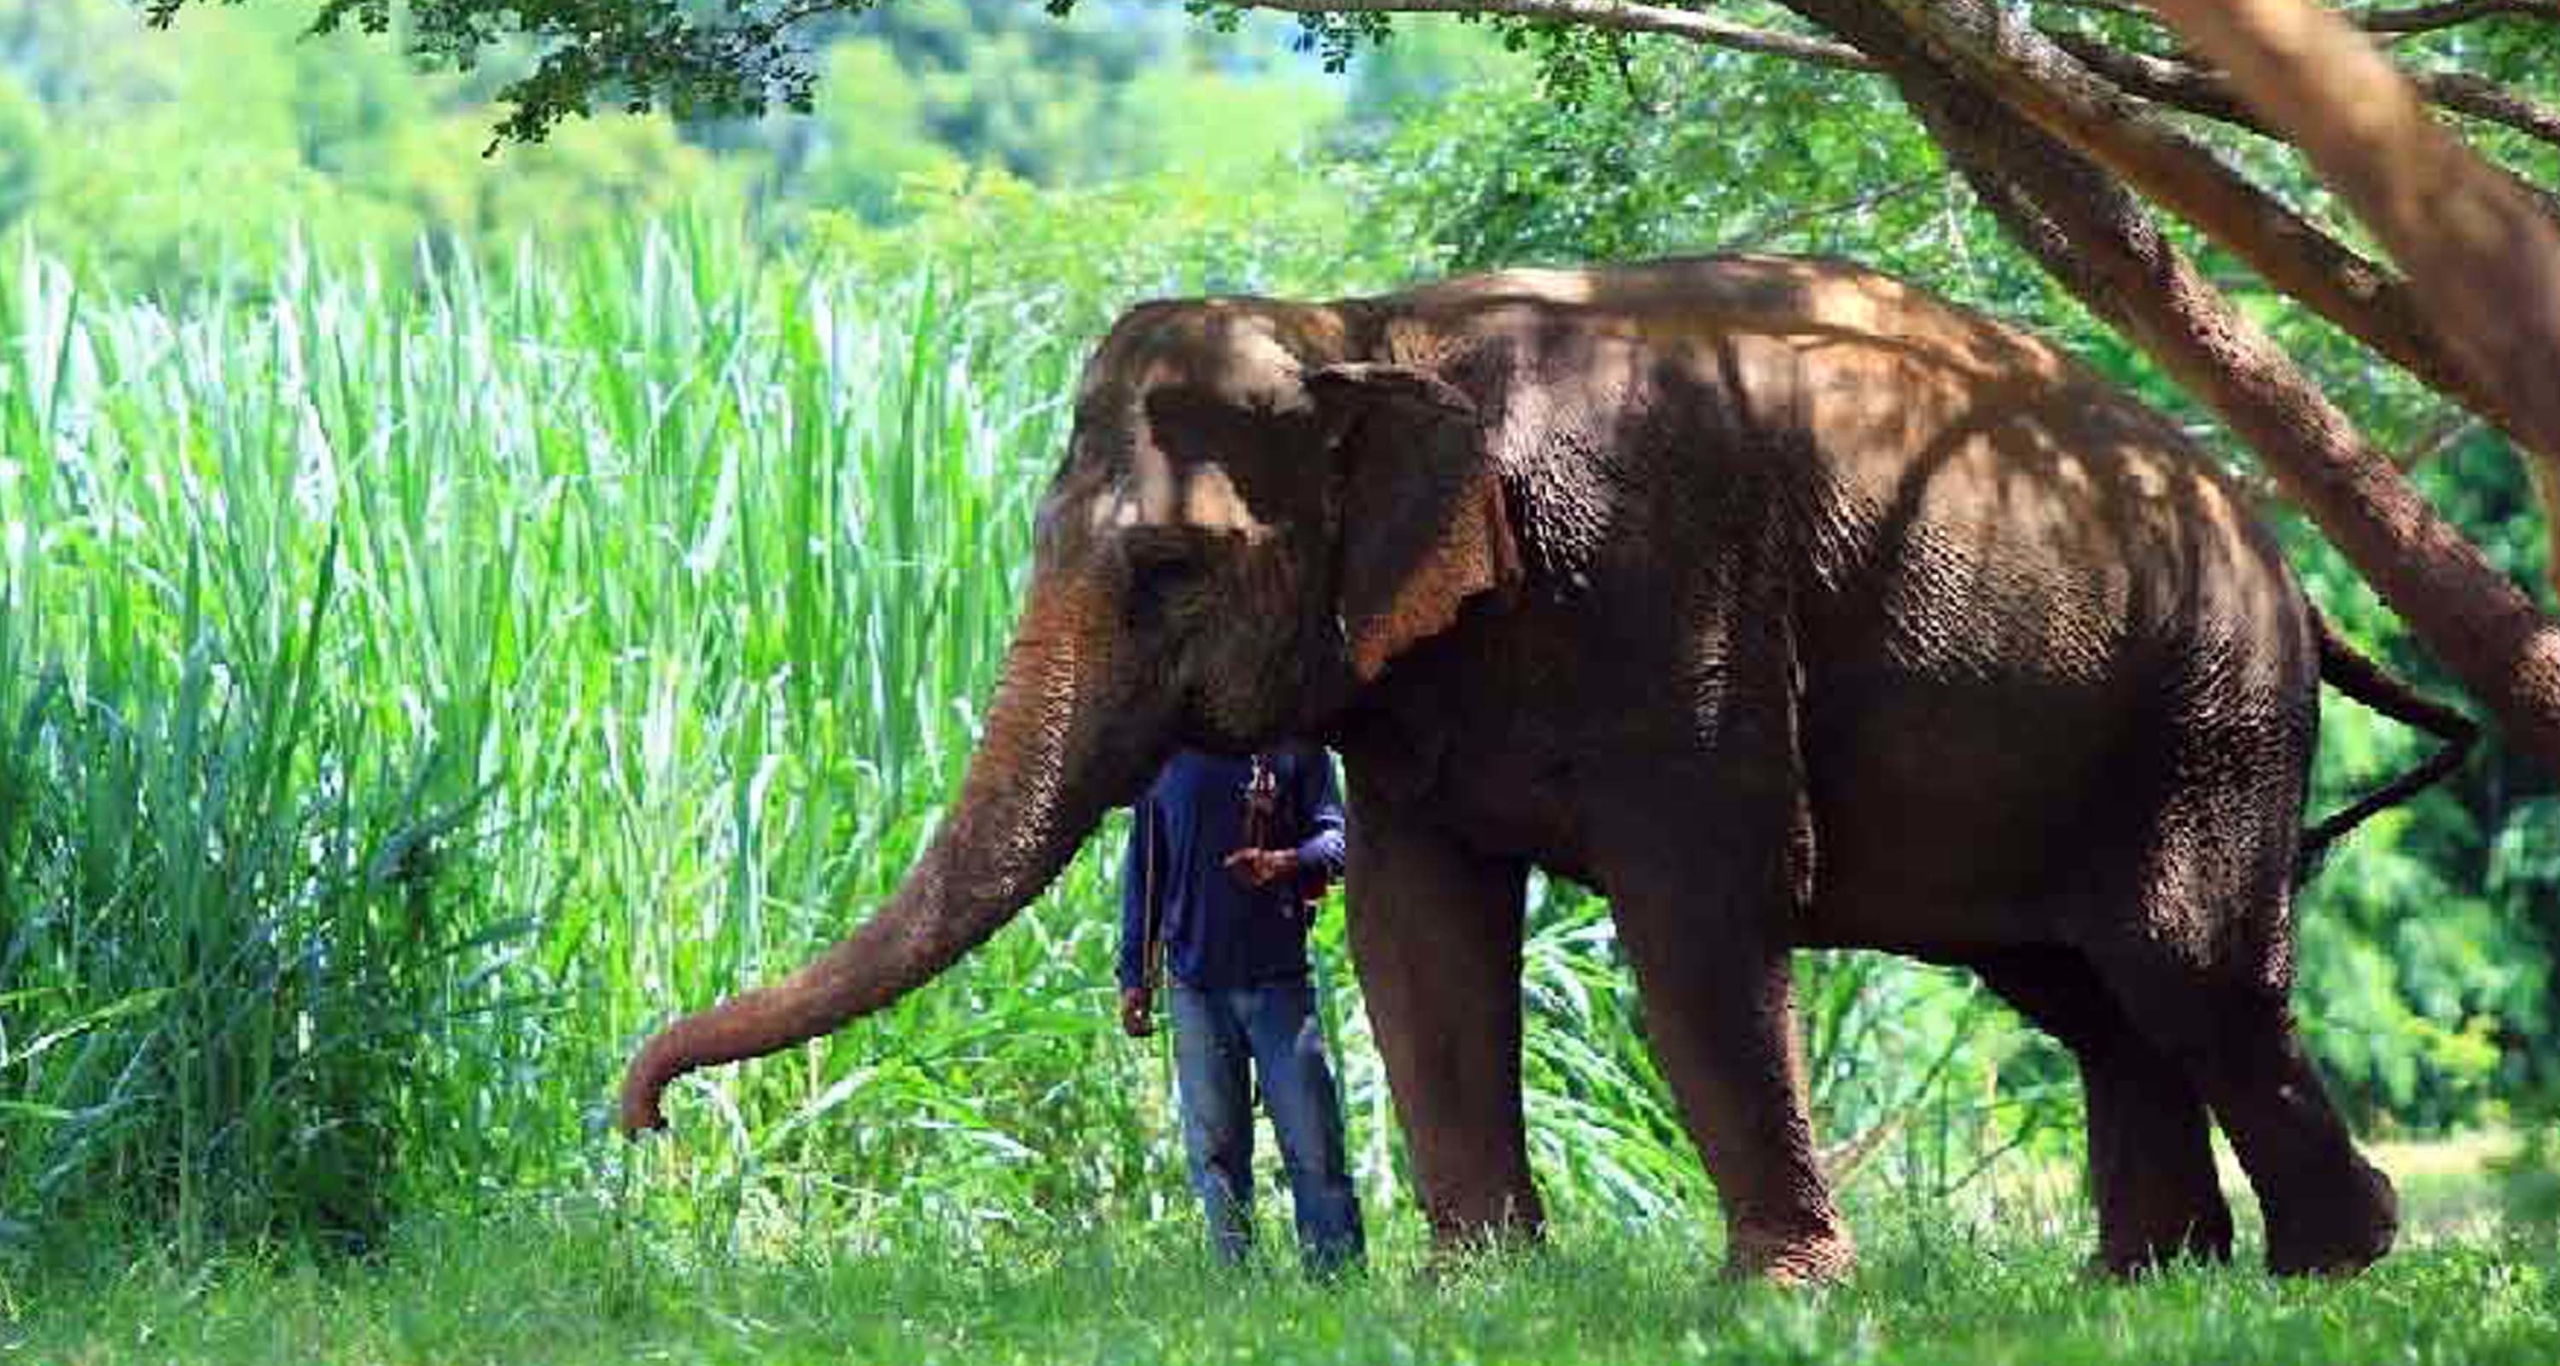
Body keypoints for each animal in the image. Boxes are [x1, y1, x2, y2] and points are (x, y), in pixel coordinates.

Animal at [609, 254, 2467, 1284]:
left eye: (1169, 567)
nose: (639, 1121)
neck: (1364, 321)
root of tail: (2295, 569)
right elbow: (1413, 929)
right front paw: (1474, 1289)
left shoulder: (1675, 586)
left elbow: (1699, 914)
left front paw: (1779, 1296)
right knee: (2088, 994)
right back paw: (2149, 1283)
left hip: (2207, 712)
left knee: (2187, 974)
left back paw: (2332, 1266)